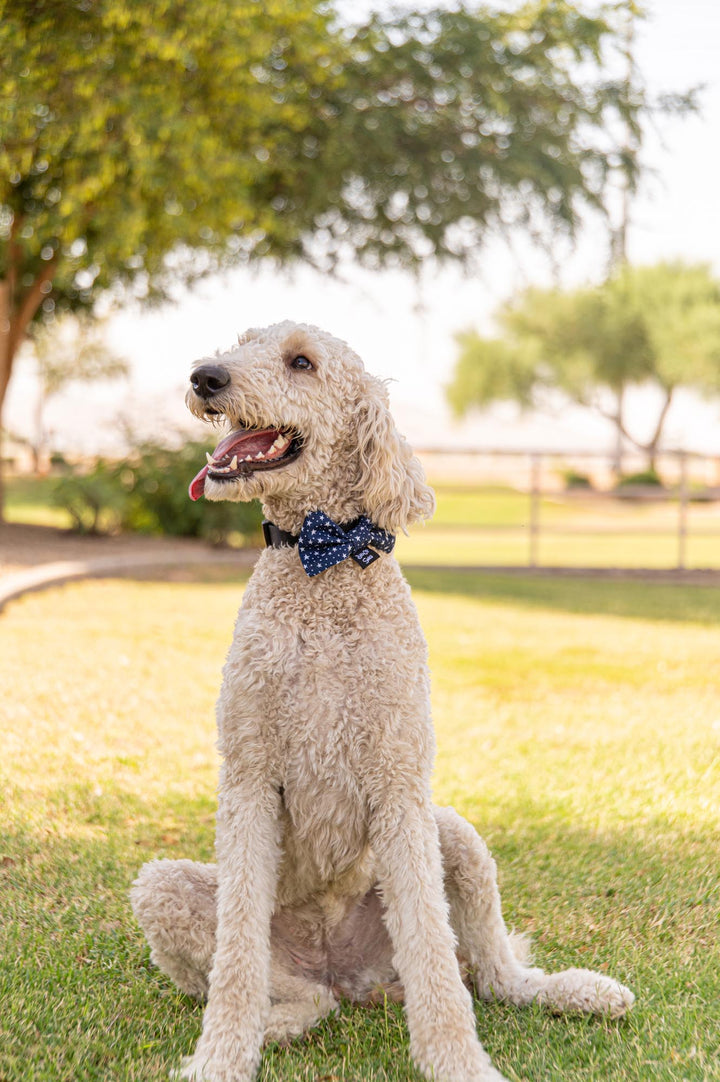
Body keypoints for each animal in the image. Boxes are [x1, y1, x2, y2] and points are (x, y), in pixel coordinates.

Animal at [130, 320, 636, 1082]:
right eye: (243, 341)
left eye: (301, 362)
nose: (204, 376)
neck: (323, 561)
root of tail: (349, 974)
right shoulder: (249, 780)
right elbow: (238, 955)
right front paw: (221, 1057)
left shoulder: (400, 785)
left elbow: (431, 950)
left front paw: (457, 1061)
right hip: (166, 888)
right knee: (304, 995)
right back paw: (273, 1026)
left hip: (453, 833)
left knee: (491, 975)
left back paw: (579, 992)